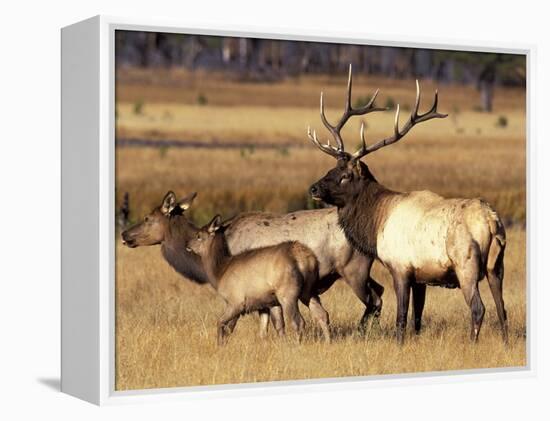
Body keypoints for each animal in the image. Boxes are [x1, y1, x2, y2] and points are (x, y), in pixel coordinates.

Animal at [187, 215, 332, 342]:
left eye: (198, 236)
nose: (187, 244)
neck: (219, 272)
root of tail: (306, 258)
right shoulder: (266, 303)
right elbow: (269, 329)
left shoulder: (236, 301)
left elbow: (222, 324)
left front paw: (220, 345)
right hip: (309, 290)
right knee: (322, 314)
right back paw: (328, 342)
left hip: (287, 292)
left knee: (298, 321)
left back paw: (297, 345)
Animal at [310, 63, 508, 344]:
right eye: (331, 168)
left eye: (345, 175)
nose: (314, 188)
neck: (376, 223)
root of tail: (491, 221)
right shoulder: (420, 277)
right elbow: (417, 317)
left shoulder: (400, 267)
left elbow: (401, 317)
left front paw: (399, 344)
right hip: (496, 264)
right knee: (502, 308)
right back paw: (505, 343)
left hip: (466, 263)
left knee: (478, 308)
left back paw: (473, 343)